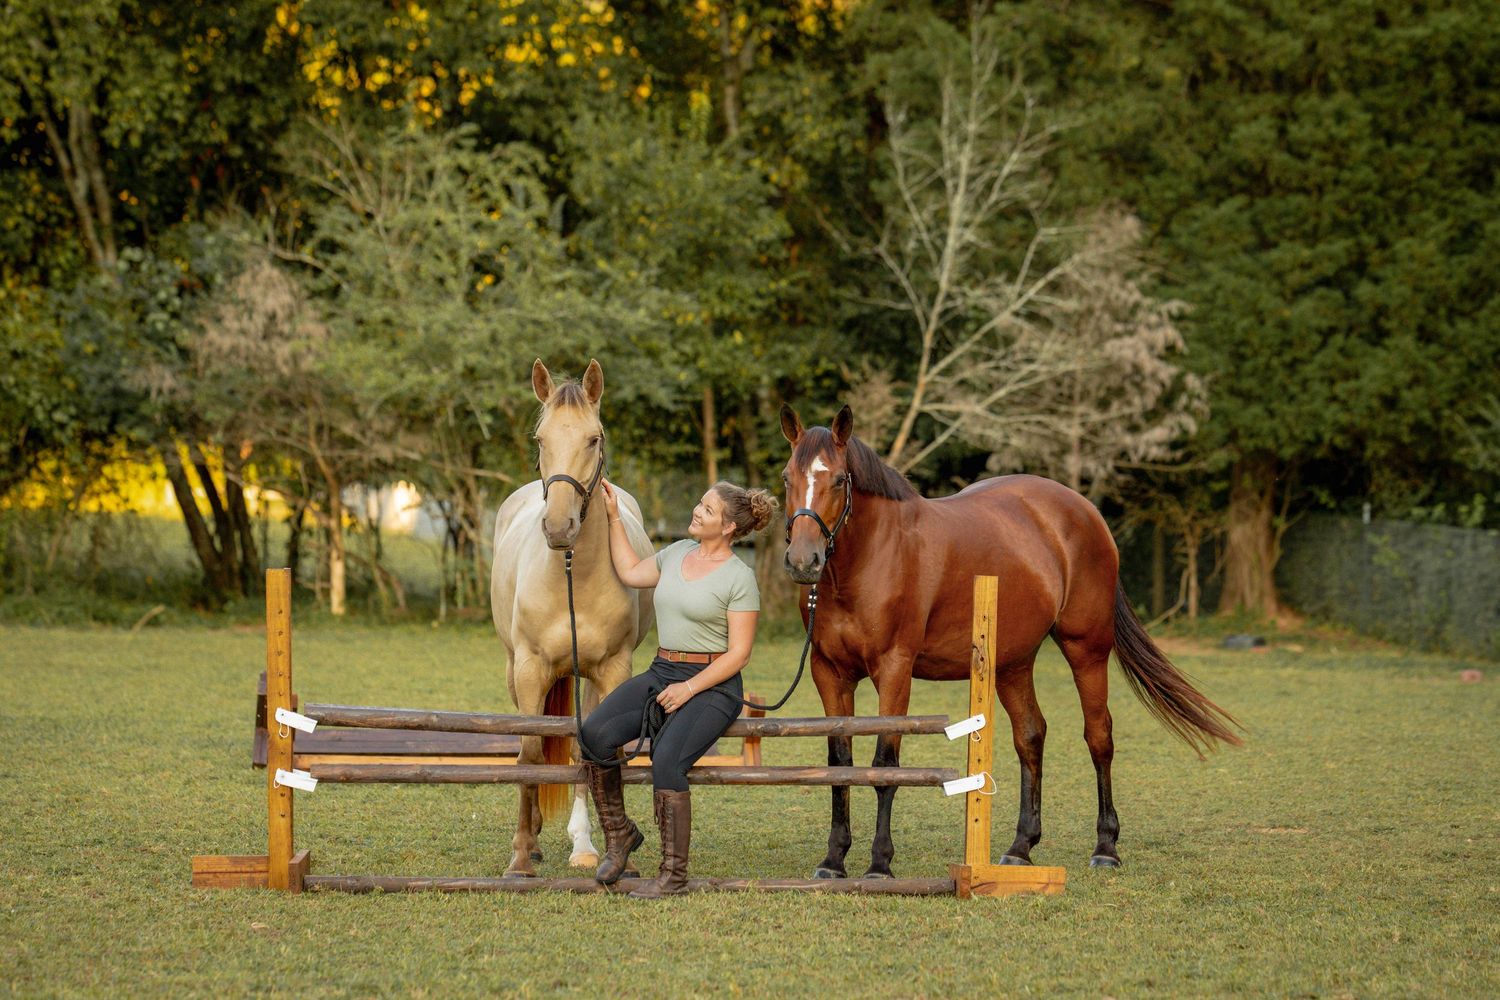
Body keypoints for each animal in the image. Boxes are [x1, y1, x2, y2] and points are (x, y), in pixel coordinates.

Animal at [489, 359, 655, 876]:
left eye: (593, 438)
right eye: (540, 439)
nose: (559, 527)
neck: (571, 577)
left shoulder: (612, 670)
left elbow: (597, 751)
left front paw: (593, 847)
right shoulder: (529, 670)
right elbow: (529, 752)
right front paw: (522, 855)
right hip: (513, 669)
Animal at [778, 403, 1241, 878]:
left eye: (838, 479)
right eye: (786, 478)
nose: (803, 560)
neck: (873, 557)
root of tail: (1085, 511)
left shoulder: (894, 671)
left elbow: (884, 765)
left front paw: (879, 864)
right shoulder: (829, 673)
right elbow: (839, 764)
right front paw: (833, 860)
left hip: (1086, 650)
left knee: (1099, 736)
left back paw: (1106, 847)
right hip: (1013, 664)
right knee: (1031, 736)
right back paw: (1021, 846)